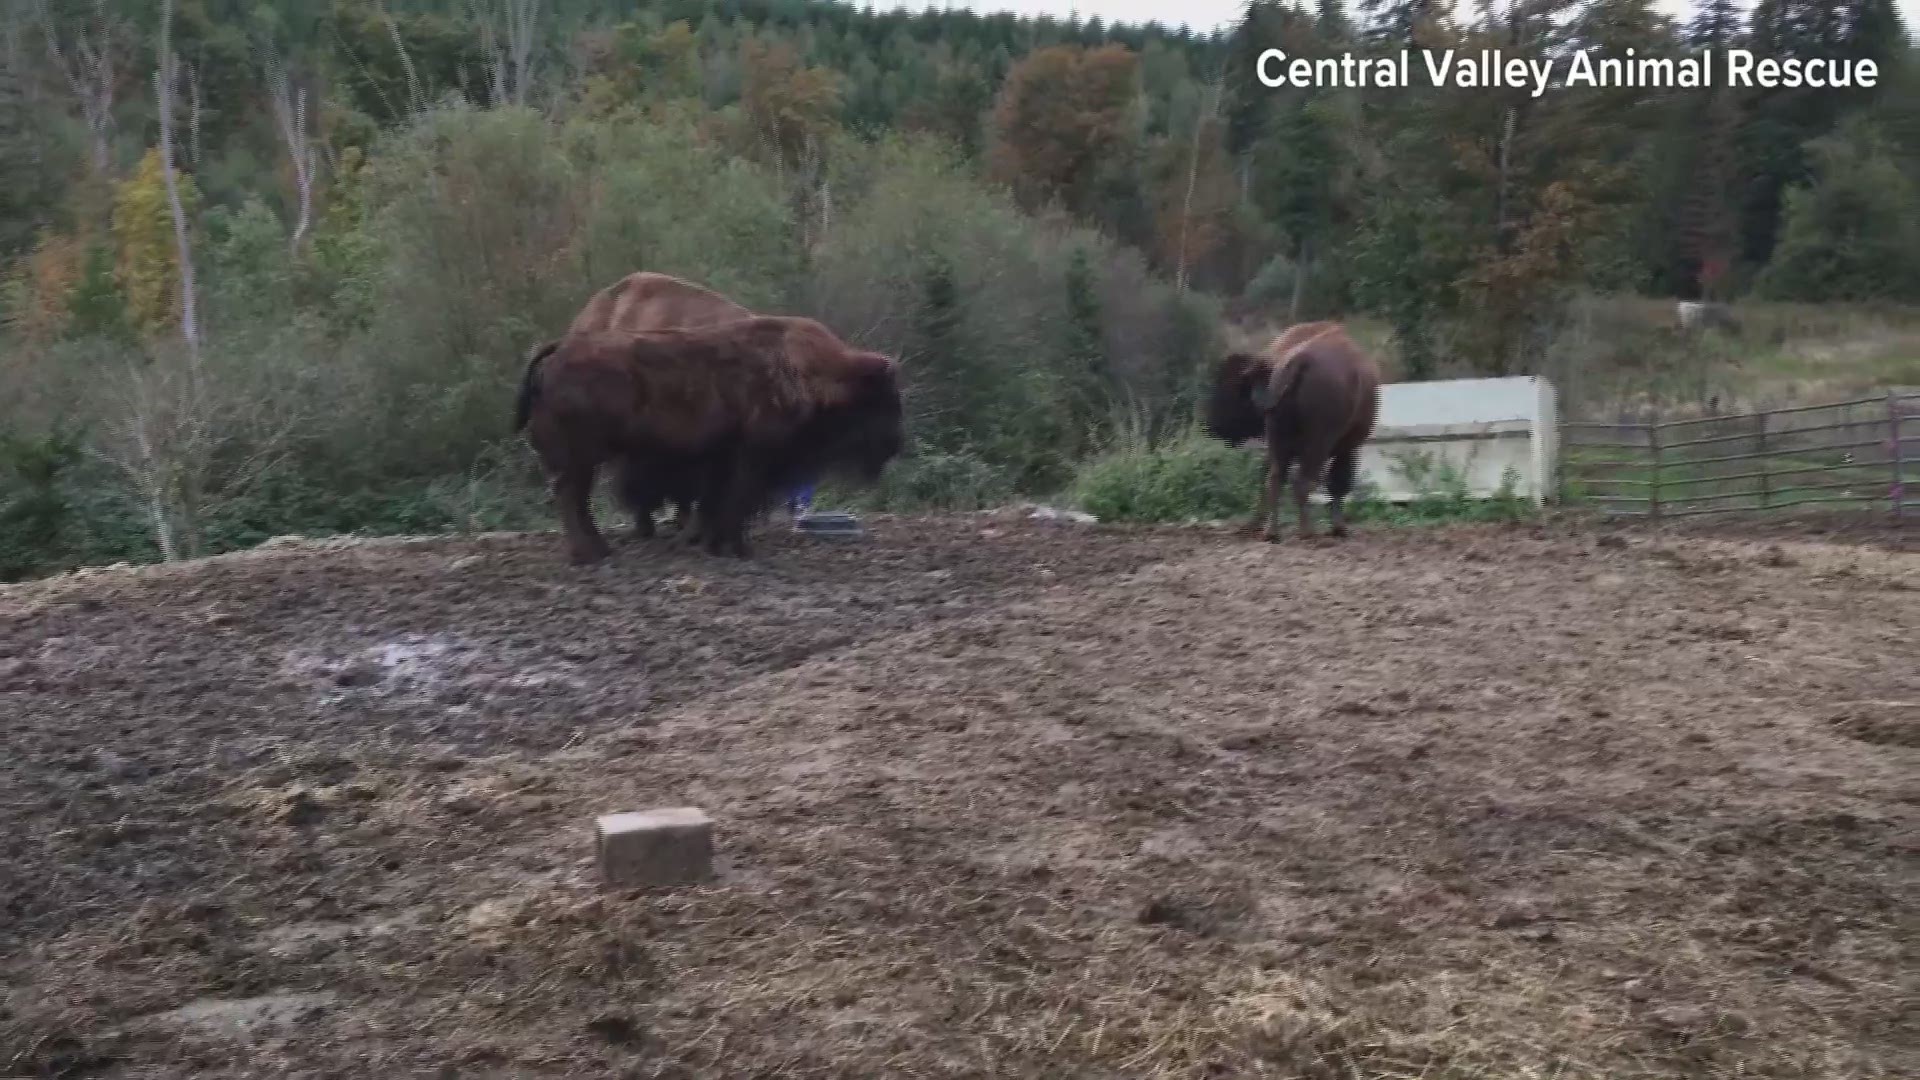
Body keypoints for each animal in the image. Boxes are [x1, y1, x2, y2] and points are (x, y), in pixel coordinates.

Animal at [510, 311, 898, 564]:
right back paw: (589, 555)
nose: (895, 445)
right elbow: (735, 502)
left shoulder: (722, 461)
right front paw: (739, 550)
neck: (807, 372)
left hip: (583, 461)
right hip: (579, 459)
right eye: (882, 400)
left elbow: (716, 503)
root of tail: (559, 350)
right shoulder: (751, 459)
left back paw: (599, 550)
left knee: (577, 502)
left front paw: (711, 545)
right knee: (572, 501)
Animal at [1198, 317, 1382, 538]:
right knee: (1303, 481)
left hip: (1282, 439)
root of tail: (1300, 360)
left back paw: (1272, 532)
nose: (1212, 425)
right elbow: (1339, 483)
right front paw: (1339, 528)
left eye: (1233, 389)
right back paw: (1307, 532)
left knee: (1276, 478)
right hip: (1318, 444)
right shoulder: (1349, 448)